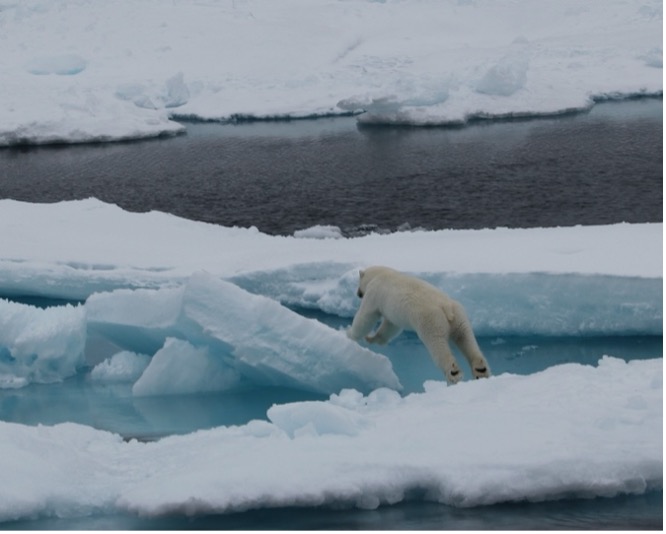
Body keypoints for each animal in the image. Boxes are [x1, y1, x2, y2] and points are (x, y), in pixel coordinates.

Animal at [348, 266, 488, 386]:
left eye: (358, 284)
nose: (358, 293)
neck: (381, 274)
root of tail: (446, 308)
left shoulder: (374, 293)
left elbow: (366, 317)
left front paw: (350, 334)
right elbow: (391, 326)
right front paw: (373, 338)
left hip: (430, 320)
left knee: (437, 344)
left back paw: (453, 372)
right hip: (459, 317)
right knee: (466, 338)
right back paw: (481, 370)